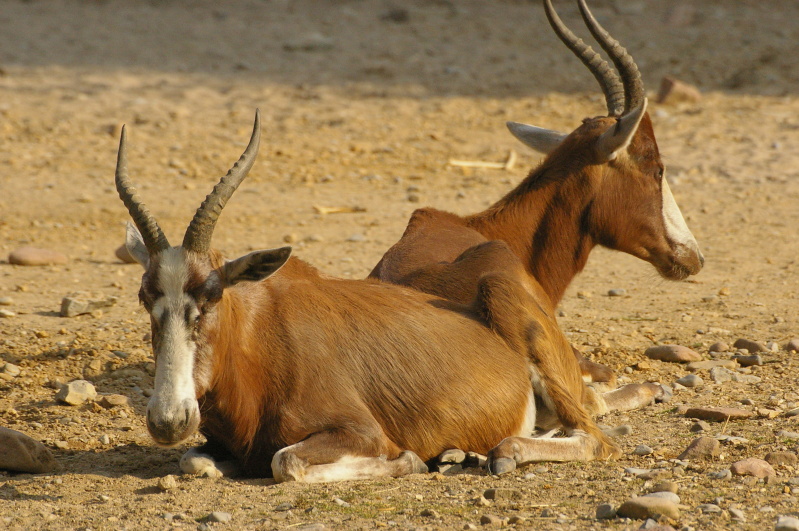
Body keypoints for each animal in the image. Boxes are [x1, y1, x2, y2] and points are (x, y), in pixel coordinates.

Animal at [114, 109, 620, 482]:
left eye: (212, 296)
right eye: (144, 298)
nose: (168, 419)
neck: (259, 341)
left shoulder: (359, 432)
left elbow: (285, 462)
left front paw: (412, 460)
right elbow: (194, 460)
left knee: (596, 438)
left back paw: (498, 452)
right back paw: (466, 455)